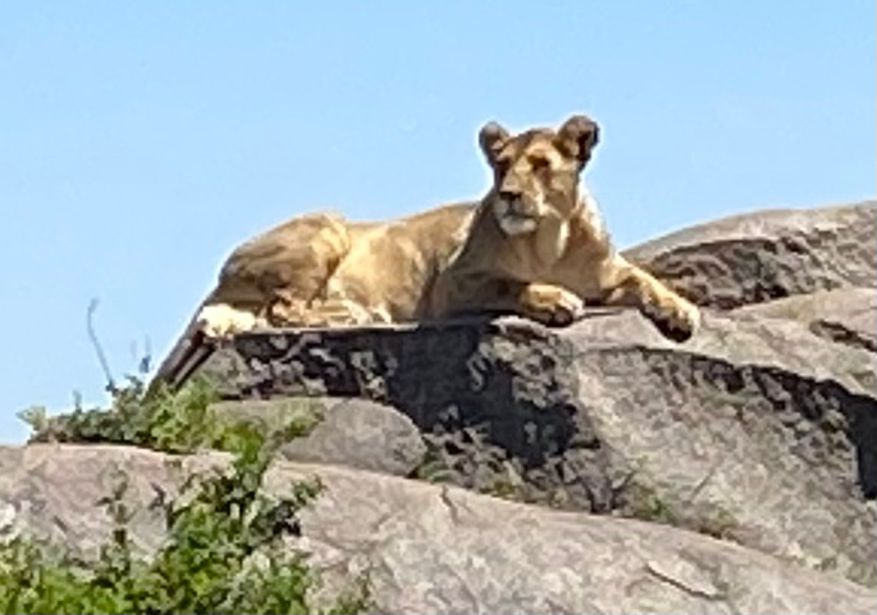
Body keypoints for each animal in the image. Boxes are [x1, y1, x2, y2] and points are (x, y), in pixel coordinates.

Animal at [156, 114, 699, 383]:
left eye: (541, 165)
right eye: (501, 165)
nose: (508, 194)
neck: (551, 238)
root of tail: (224, 269)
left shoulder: (608, 272)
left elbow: (646, 280)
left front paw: (682, 313)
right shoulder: (452, 284)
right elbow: (512, 283)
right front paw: (554, 299)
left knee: (254, 316)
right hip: (328, 224)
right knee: (285, 309)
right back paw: (354, 314)